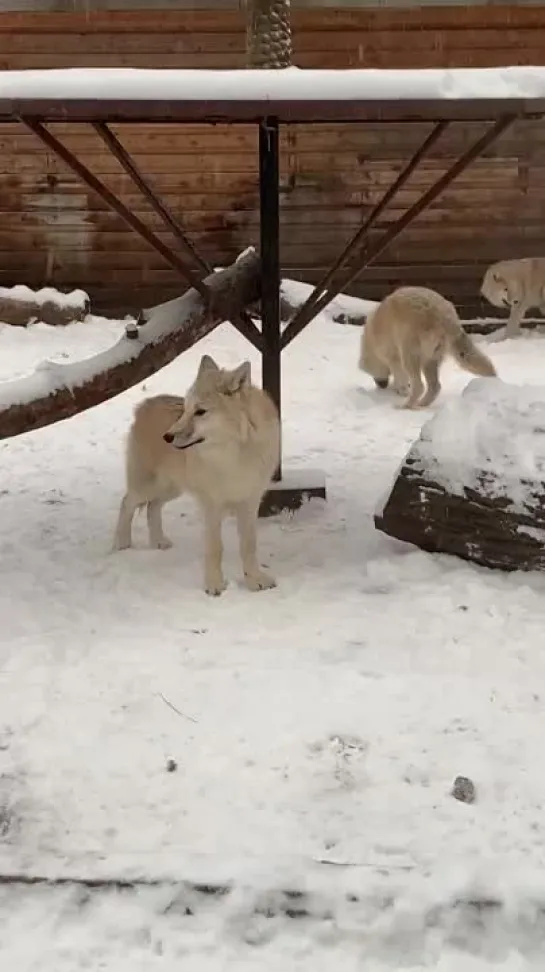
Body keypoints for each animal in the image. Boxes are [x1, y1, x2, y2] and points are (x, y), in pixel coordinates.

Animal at [112, 356, 278, 596]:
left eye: (200, 412)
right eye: (186, 410)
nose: (167, 436)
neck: (233, 456)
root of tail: (144, 404)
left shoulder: (250, 502)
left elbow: (248, 546)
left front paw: (255, 581)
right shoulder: (211, 506)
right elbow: (215, 548)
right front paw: (214, 586)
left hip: (172, 488)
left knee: (153, 507)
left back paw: (158, 542)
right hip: (148, 485)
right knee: (127, 502)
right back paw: (122, 543)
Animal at [360, 282, 496, 408]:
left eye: (370, 373)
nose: (380, 385)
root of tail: (444, 316)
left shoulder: (392, 356)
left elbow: (400, 376)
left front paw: (401, 390)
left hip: (411, 352)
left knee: (419, 386)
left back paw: (406, 405)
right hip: (432, 357)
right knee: (435, 386)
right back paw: (422, 404)